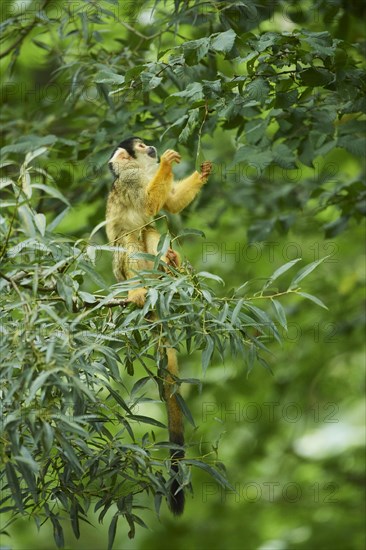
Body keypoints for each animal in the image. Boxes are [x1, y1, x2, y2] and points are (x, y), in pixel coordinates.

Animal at [106, 136, 212, 516]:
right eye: (139, 146)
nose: (151, 146)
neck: (139, 170)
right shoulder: (131, 180)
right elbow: (149, 203)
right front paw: (166, 163)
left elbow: (169, 204)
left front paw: (202, 172)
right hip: (123, 275)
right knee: (131, 239)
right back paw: (140, 291)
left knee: (153, 230)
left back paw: (172, 265)